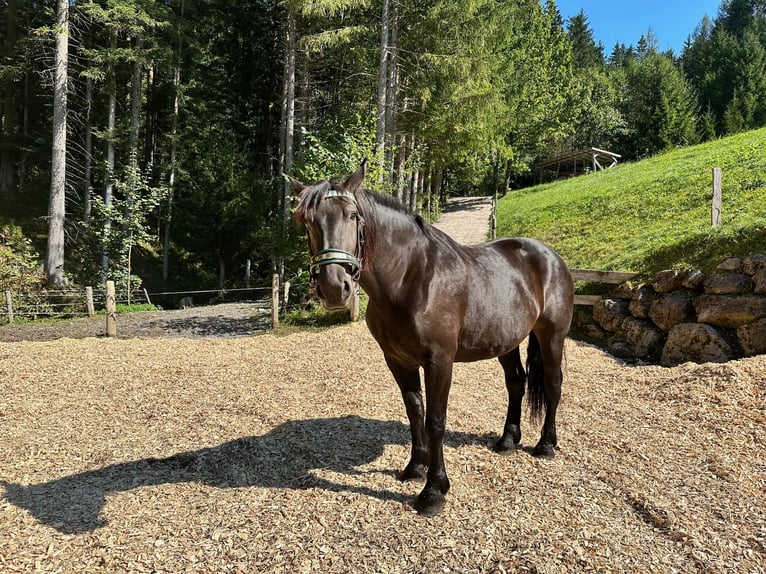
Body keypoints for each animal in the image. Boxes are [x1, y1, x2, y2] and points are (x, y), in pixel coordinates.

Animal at [294, 161, 576, 516]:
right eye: (307, 221)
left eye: (352, 215)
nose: (334, 287)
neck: (411, 280)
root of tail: (550, 256)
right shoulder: (398, 361)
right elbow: (415, 412)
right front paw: (415, 468)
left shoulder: (440, 361)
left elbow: (435, 420)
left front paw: (433, 490)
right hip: (507, 342)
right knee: (516, 382)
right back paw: (508, 441)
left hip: (552, 335)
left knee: (552, 385)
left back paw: (546, 445)